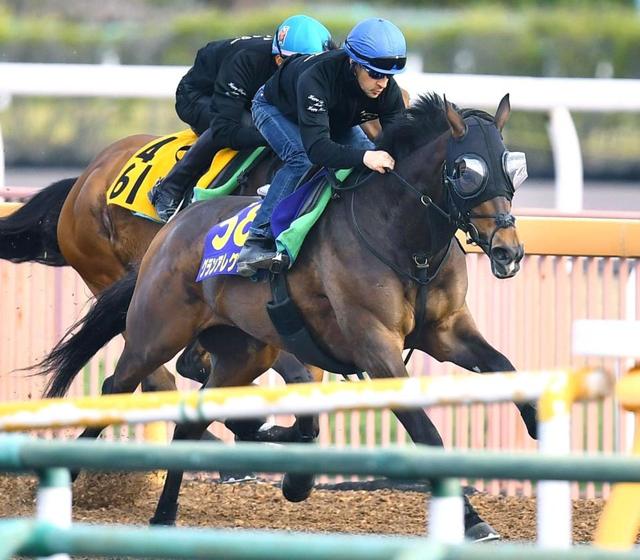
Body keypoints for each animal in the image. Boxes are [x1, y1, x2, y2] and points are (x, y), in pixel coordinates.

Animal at [37, 94, 532, 540]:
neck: (403, 238)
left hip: (244, 351)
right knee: (117, 387)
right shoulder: (375, 346)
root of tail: (175, 226)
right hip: (155, 332)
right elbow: (426, 433)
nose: (508, 251)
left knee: (192, 416)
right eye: (467, 170)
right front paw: (473, 520)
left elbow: (505, 367)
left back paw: (166, 514)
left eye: (512, 167)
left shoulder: (446, 331)